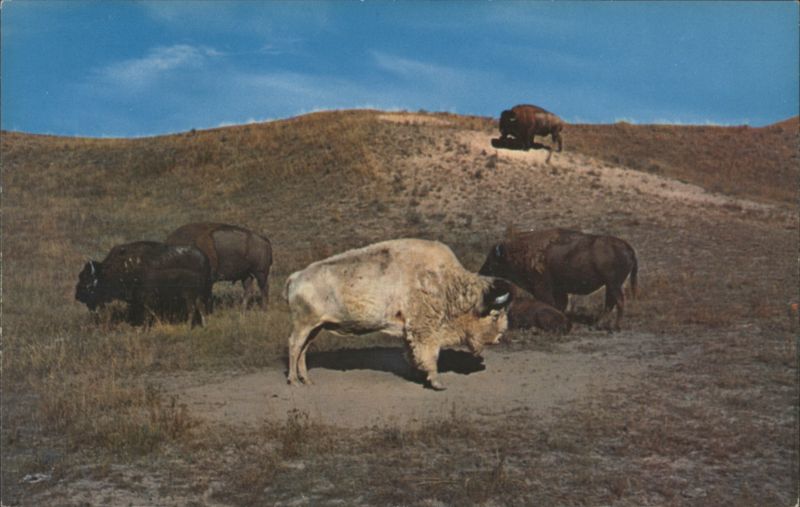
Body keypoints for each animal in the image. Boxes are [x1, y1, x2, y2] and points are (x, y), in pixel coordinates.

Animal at [480, 228, 638, 330]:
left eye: (493, 260)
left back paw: (615, 327)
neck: (522, 250)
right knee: (610, 303)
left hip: (614, 284)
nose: (482, 272)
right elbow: (560, 305)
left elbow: (550, 303)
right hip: (611, 285)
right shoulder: (559, 290)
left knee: (619, 301)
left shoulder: (542, 288)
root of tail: (628, 248)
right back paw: (599, 325)